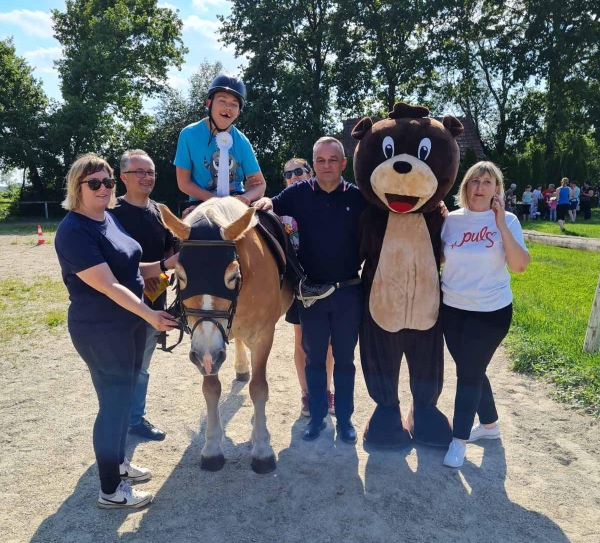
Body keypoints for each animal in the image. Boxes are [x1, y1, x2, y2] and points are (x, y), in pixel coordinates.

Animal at [158, 198, 292, 474]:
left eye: (233, 276)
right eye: (181, 276)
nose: (207, 356)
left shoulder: (263, 336)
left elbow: (259, 388)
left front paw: (262, 449)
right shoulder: (206, 348)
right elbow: (211, 389)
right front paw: (212, 448)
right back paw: (241, 367)